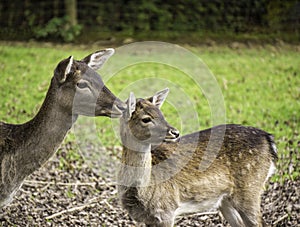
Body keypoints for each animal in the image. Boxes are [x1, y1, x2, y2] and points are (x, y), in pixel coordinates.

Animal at [116, 88, 276, 227]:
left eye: (162, 114)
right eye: (146, 119)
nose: (175, 132)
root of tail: (269, 140)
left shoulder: (166, 210)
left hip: (250, 189)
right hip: (226, 200)